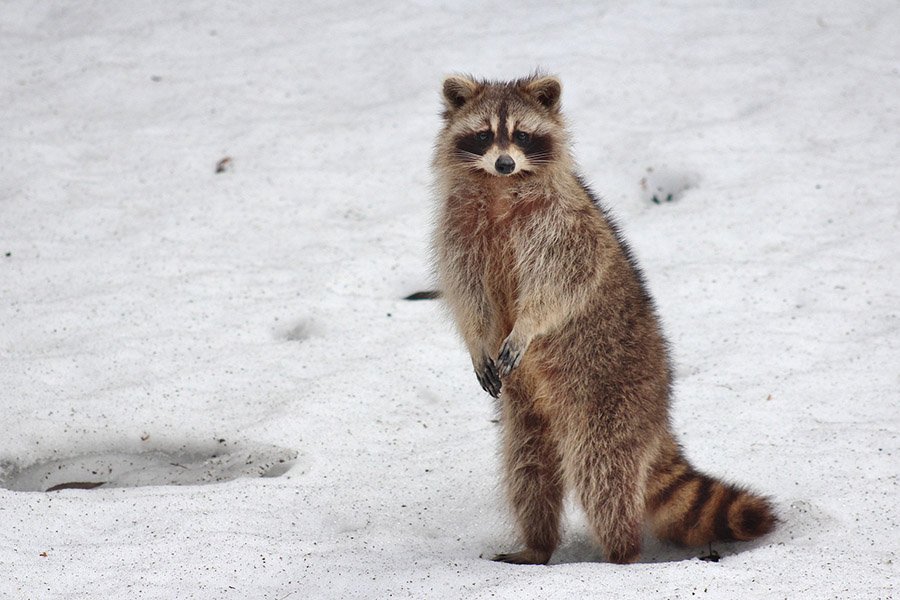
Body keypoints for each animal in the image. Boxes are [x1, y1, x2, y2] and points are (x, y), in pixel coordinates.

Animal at [428, 72, 772, 564]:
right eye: (484, 135)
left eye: (521, 135)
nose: (505, 163)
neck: (498, 190)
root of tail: (658, 414)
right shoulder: (457, 230)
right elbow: (467, 294)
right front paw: (478, 340)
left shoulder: (563, 226)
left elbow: (561, 284)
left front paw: (527, 325)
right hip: (527, 412)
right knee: (527, 468)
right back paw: (537, 545)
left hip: (611, 397)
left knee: (602, 471)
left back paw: (621, 553)